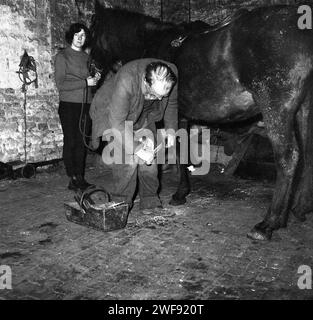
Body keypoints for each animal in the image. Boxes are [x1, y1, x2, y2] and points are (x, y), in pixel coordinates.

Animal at [89, 5, 313, 240]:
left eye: (92, 31)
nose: (91, 68)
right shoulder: (183, 117)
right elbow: (183, 150)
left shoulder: (170, 114)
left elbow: (178, 151)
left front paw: (179, 194)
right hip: (303, 108)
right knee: (308, 153)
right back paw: (300, 207)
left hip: (276, 109)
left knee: (288, 158)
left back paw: (268, 223)